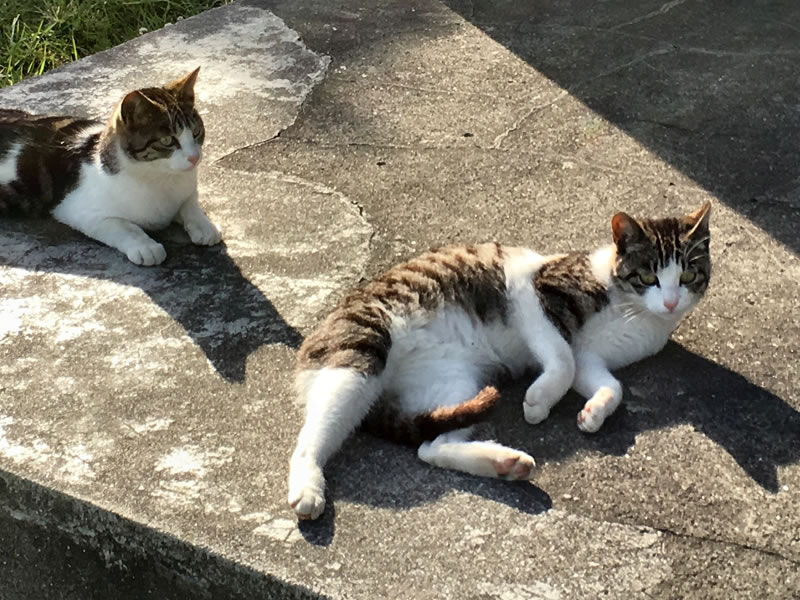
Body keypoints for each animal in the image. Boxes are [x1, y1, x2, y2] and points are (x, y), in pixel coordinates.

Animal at [288, 203, 712, 520]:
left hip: (452, 382)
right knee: (313, 434)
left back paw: (504, 462)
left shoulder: (591, 354)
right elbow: (562, 360)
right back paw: (307, 484)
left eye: (689, 275)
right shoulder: (531, 292)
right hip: (362, 348)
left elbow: (608, 383)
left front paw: (593, 412)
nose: (671, 302)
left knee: (431, 446)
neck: (635, 313)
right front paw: (539, 401)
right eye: (648, 276)